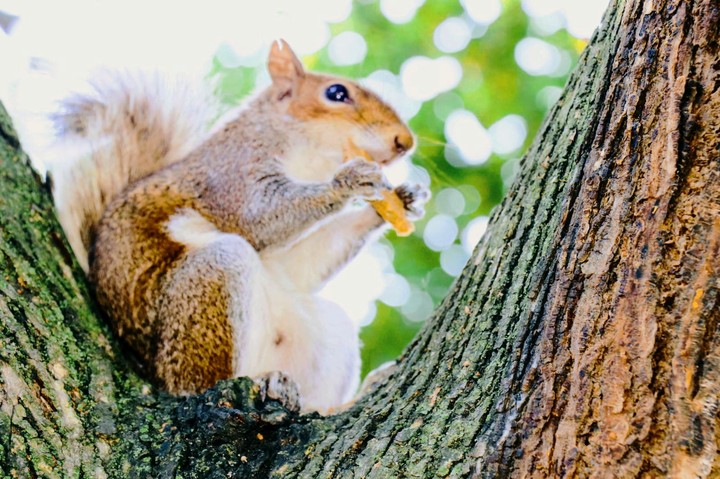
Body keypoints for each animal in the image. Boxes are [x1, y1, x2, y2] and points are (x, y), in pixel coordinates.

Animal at [48, 40, 427, 413]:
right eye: (336, 93)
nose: (404, 142)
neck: (306, 156)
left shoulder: (286, 261)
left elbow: (305, 263)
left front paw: (403, 199)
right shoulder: (232, 174)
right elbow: (255, 218)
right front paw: (348, 181)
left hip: (326, 330)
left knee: (315, 408)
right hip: (210, 285)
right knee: (200, 382)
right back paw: (259, 381)